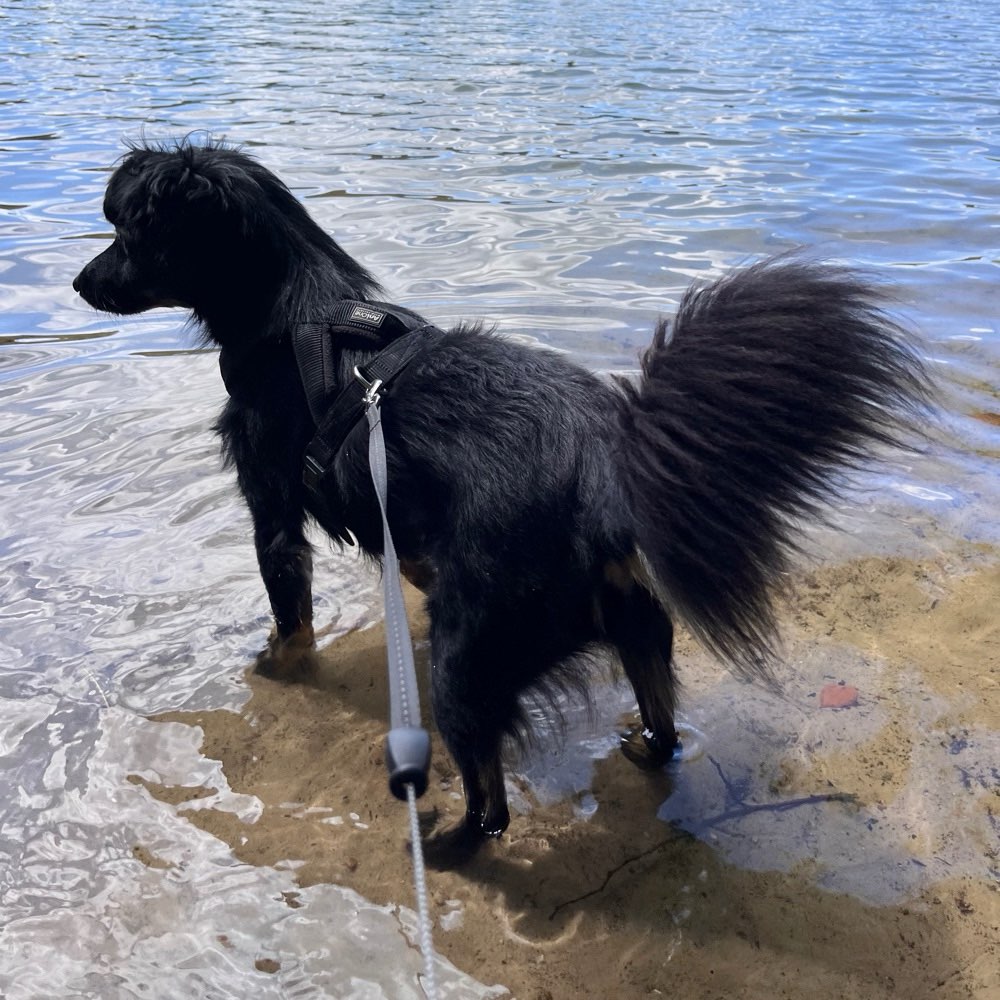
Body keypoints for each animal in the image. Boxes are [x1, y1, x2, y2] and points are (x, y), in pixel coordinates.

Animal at [72, 139, 928, 860]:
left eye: (128, 234)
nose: (80, 282)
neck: (297, 316)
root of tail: (607, 471)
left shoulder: (274, 515)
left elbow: (289, 619)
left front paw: (271, 668)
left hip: (465, 657)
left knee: (492, 802)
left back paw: (445, 846)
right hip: (630, 623)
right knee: (660, 717)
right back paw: (643, 749)